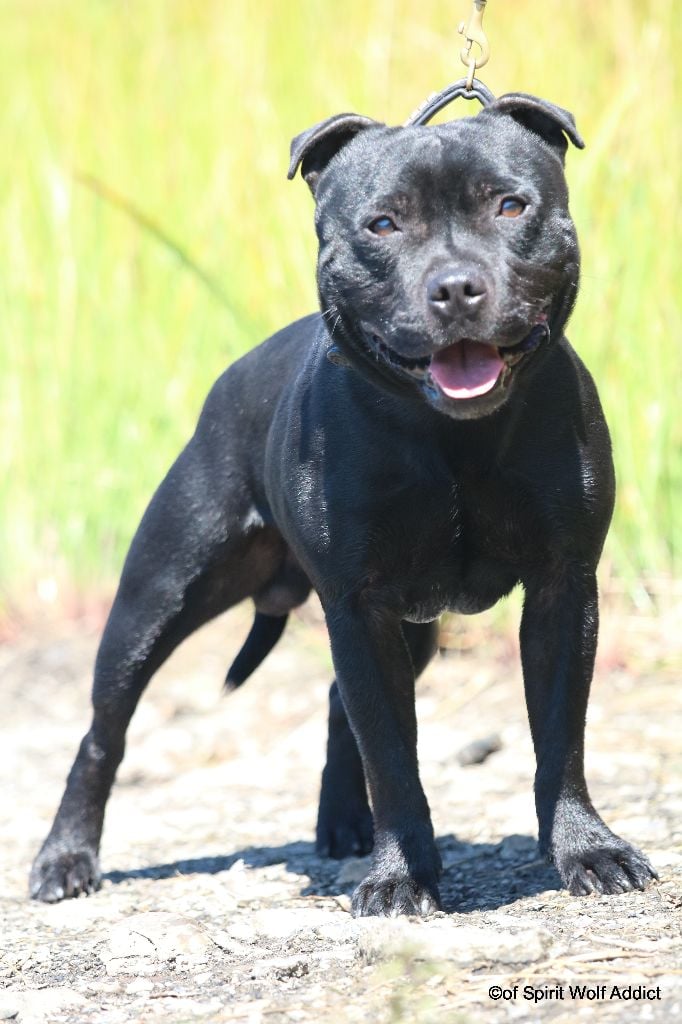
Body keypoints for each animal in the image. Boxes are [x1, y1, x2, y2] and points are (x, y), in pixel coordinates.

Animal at [30, 91, 657, 916]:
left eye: (510, 205)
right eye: (383, 224)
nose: (456, 287)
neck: (449, 437)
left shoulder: (560, 588)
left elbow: (559, 736)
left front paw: (587, 849)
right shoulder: (359, 605)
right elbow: (390, 754)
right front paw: (400, 877)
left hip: (409, 626)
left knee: (335, 704)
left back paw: (341, 824)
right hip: (156, 599)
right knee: (104, 730)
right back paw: (66, 857)